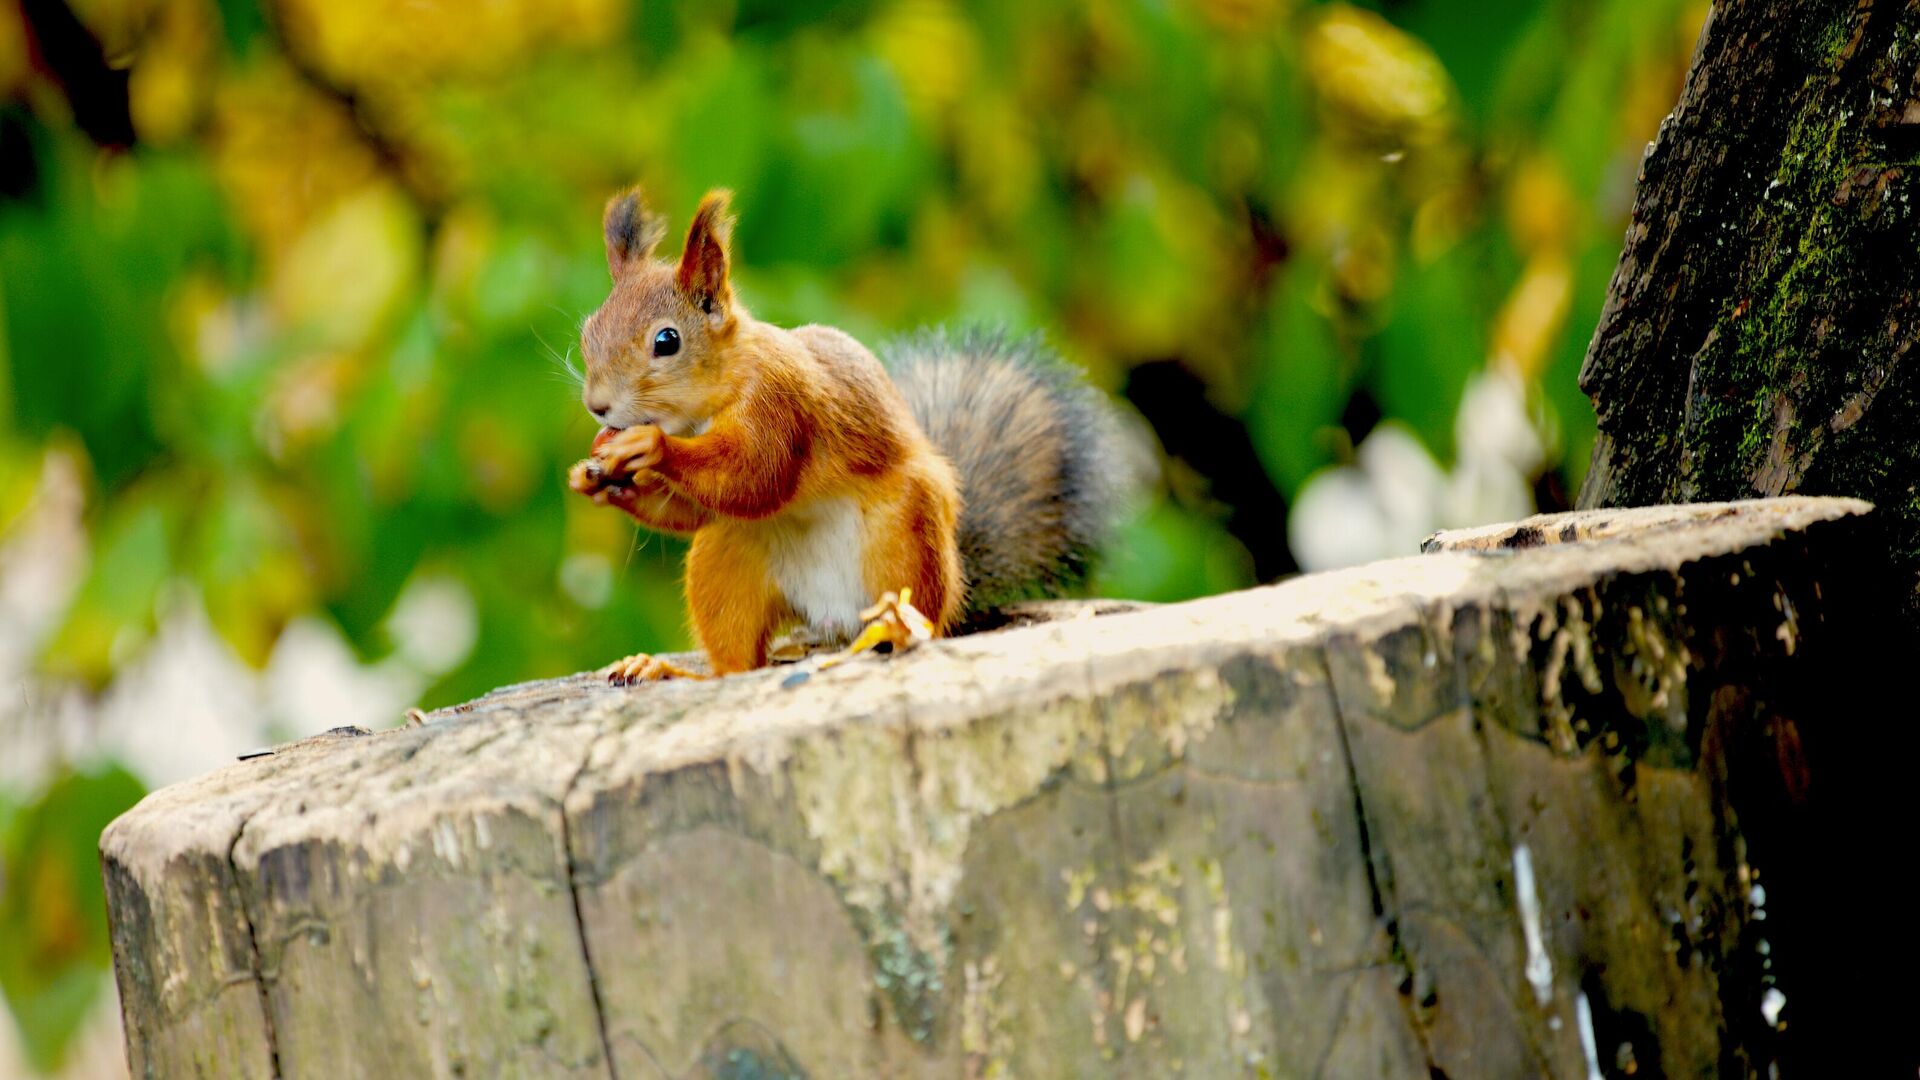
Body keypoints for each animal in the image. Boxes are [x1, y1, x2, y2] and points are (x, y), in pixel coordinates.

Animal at [560, 180, 1128, 676]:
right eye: (588, 333)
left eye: (667, 341)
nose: (598, 406)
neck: (717, 392)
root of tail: (835, 621)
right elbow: (698, 508)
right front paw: (594, 477)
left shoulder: (779, 402)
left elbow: (754, 476)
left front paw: (650, 445)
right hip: (728, 561)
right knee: (736, 662)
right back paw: (667, 671)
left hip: (905, 539)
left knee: (918, 615)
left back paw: (896, 630)